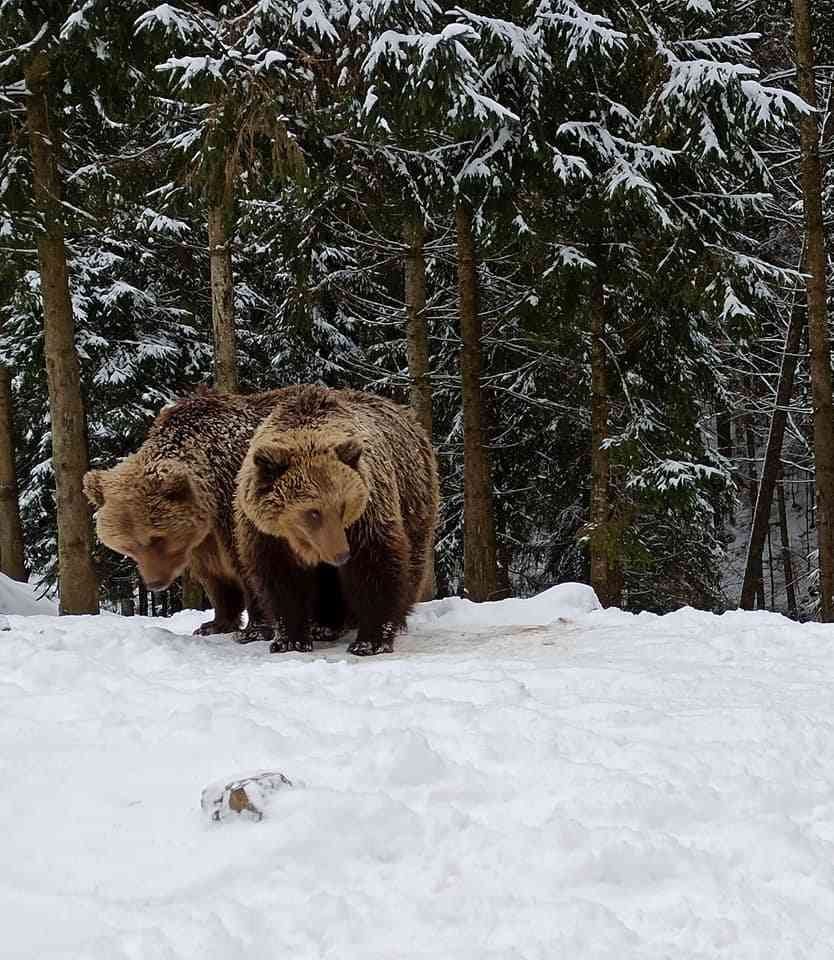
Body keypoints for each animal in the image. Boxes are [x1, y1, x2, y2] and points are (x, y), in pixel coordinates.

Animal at [83, 386, 288, 632]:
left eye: (157, 538)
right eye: (128, 546)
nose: (155, 583)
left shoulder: (236, 505)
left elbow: (249, 563)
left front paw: (255, 629)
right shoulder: (202, 539)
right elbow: (213, 575)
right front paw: (214, 624)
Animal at [234, 386, 438, 656]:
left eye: (343, 505)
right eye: (313, 512)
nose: (341, 555)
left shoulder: (366, 516)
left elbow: (374, 566)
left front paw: (370, 641)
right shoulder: (266, 534)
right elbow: (282, 582)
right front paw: (290, 640)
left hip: (413, 498)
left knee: (410, 563)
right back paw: (325, 625)